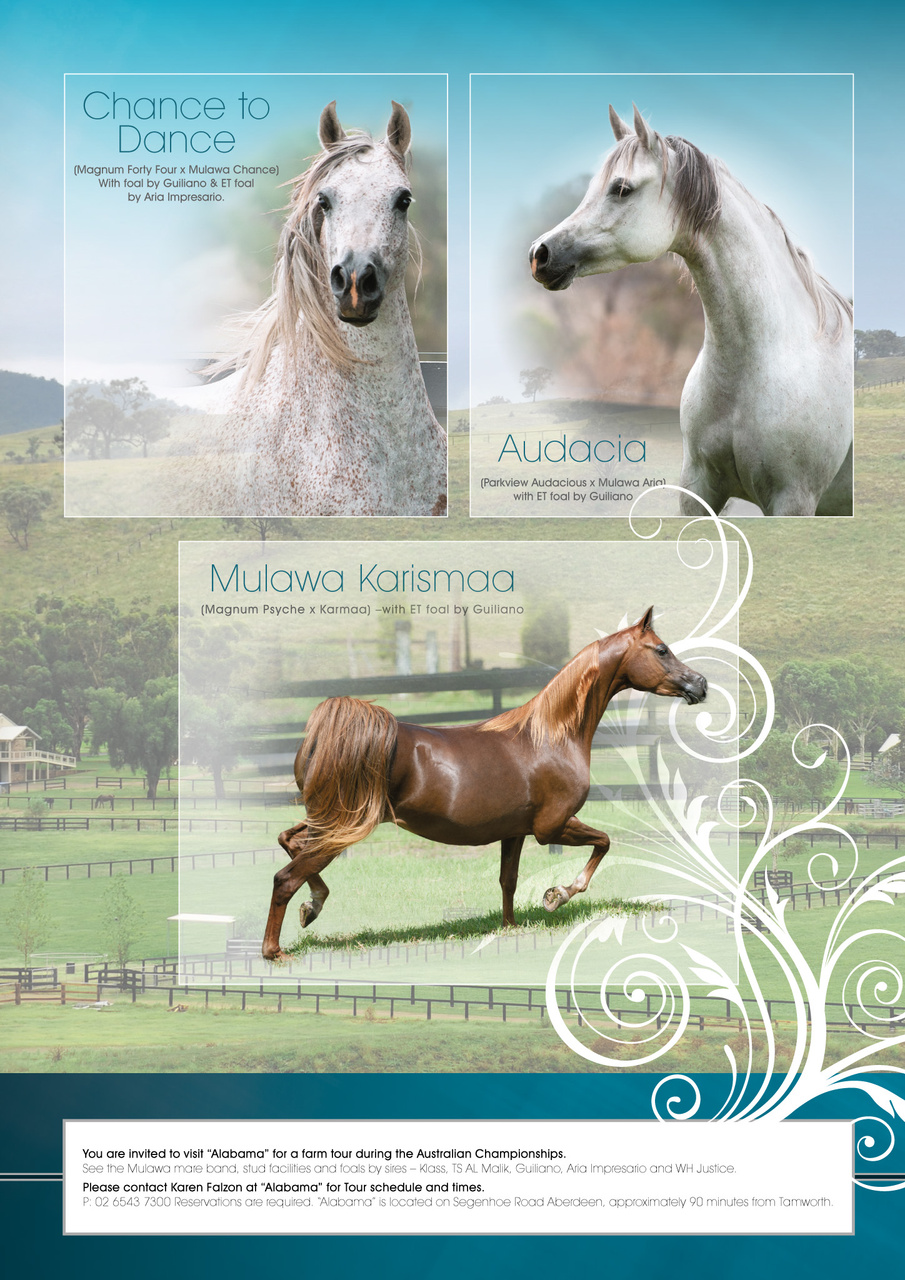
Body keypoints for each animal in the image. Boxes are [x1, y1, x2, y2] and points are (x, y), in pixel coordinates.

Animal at [261, 607, 707, 962]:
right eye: (661, 649)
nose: (700, 684)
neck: (551, 736)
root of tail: (320, 739)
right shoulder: (551, 828)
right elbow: (604, 843)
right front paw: (555, 896)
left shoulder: (515, 831)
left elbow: (508, 881)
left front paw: (510, 927)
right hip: (342, 824)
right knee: (285, 877)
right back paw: (274, 951)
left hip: (328, 819)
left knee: (289, 841)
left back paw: (311, 908)